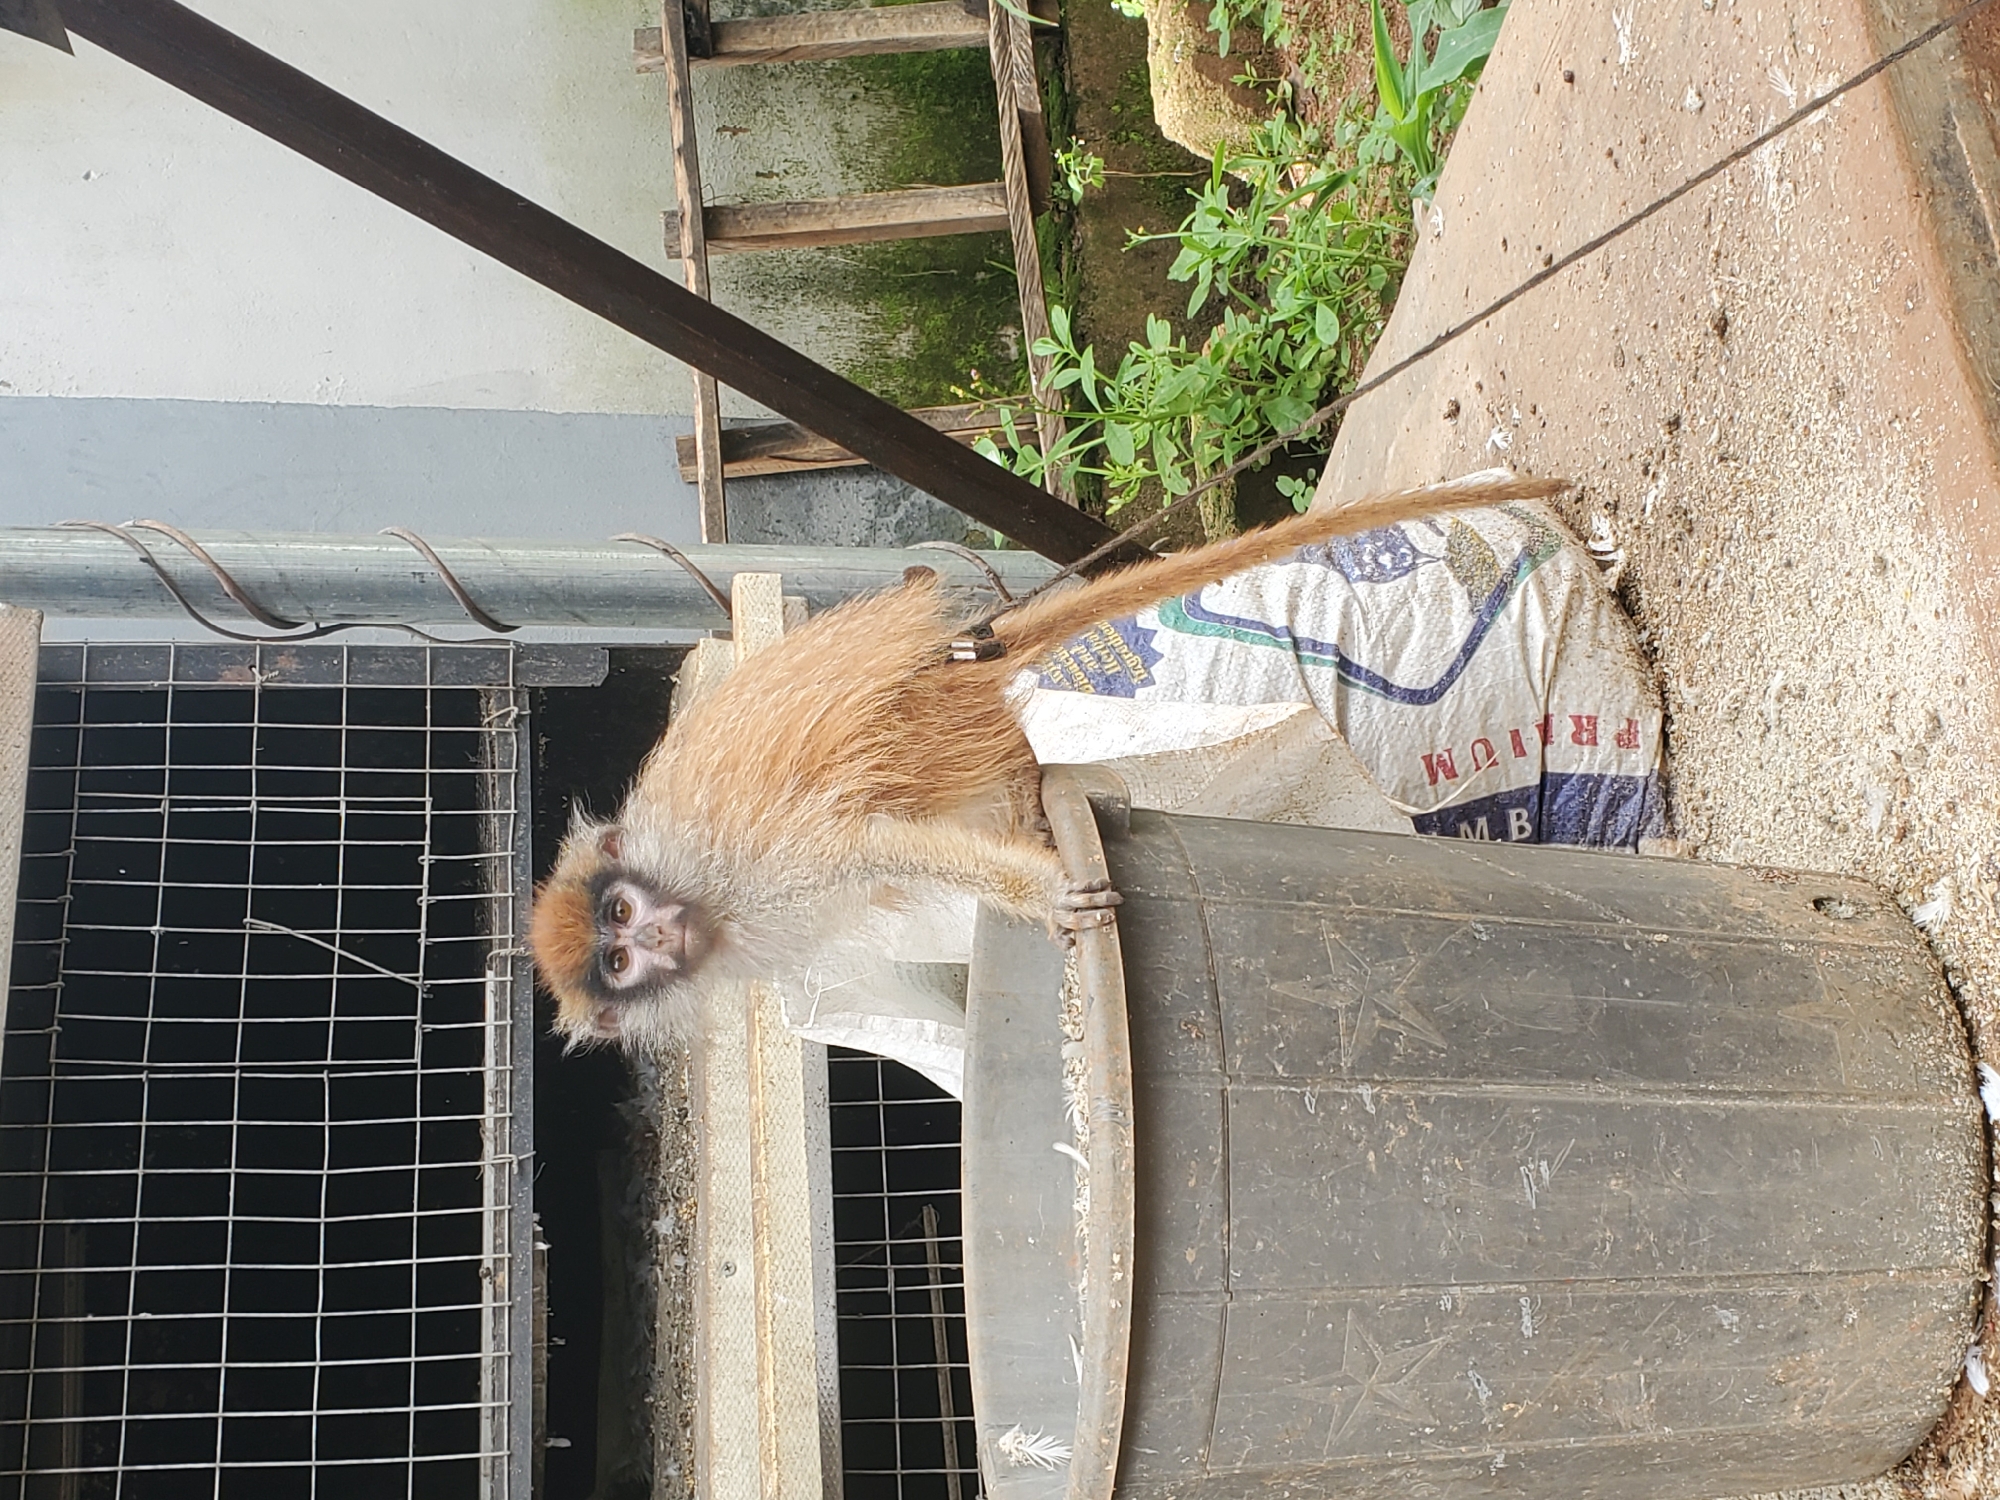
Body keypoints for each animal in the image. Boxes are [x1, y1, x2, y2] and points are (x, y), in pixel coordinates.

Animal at [531, 472, 1570, 1048]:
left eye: (618, 918)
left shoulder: (758, 865)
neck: (694, 894)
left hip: (915, 730)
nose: (654, 939)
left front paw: (1046, 899)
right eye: (616, 957)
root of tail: (942, 668)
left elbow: (865, 846)